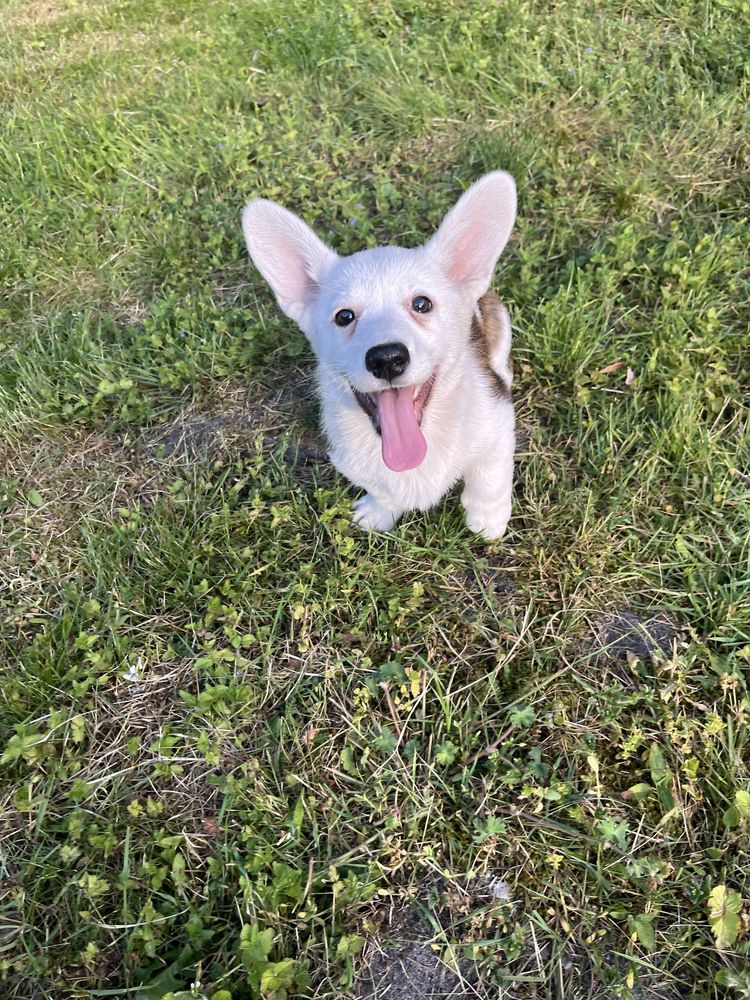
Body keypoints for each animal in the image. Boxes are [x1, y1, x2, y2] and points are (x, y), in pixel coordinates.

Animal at [244, 176, 520, 544]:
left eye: (422, 304)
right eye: (344, 316)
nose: (386, 359)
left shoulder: (498, 427)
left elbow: (488, 479)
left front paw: (487, 521)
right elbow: (382, 489)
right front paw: (379, 512)